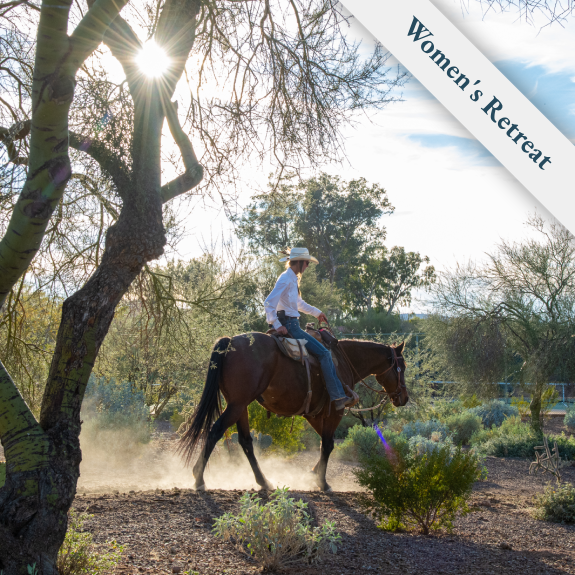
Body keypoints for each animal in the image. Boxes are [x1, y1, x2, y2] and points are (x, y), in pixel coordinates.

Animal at [181, 332, 410, 490]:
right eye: (403, 366)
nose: (404, 398)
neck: (343, 361)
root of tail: (229, 343)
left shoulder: (314, 414)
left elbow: (325, 444)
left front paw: (313, 473)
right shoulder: (335, 412)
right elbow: (328, 445)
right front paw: (322, 483)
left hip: (240, 406)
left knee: (245, 441)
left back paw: (264, 481)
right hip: (237, 404)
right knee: (215, 431)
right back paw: (199, 478)